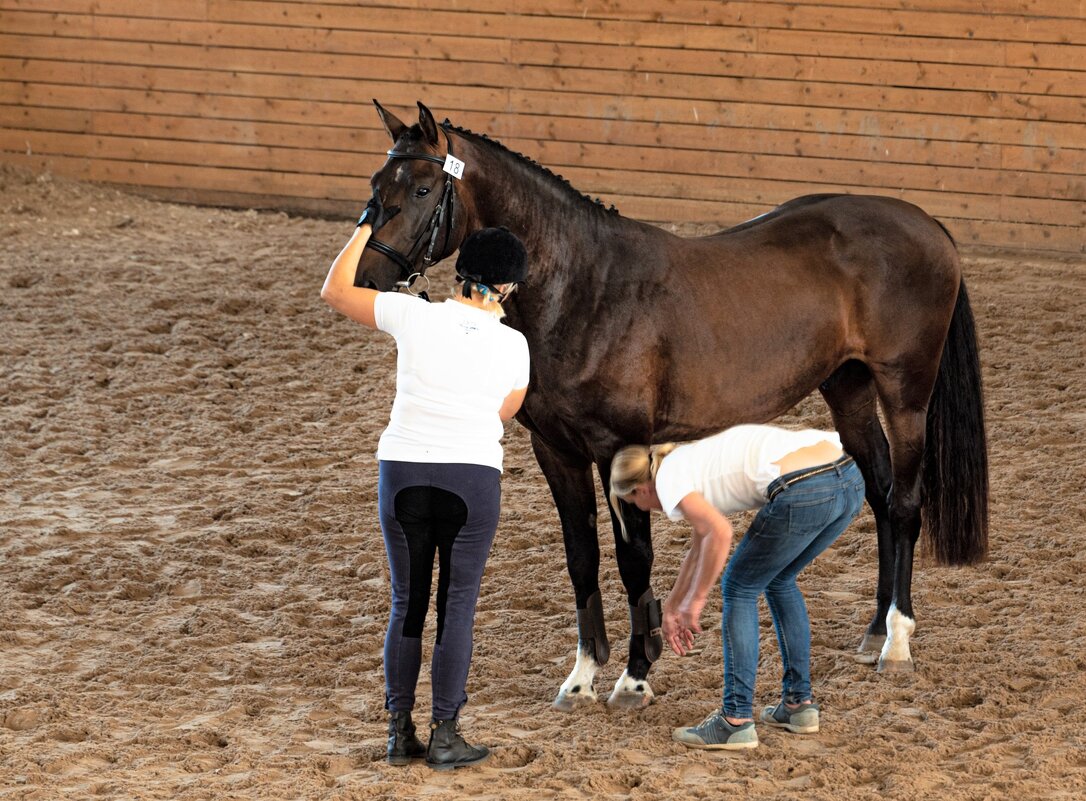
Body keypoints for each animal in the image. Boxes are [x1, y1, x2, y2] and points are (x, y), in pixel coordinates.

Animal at [351, 103, 990, 707]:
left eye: (422, 189)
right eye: (376, 184)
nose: (368, 279)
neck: (585, 290)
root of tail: (925, 222)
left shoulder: (619, 448)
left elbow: (634, 559)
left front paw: (635, 676)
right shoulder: (556, 451)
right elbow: (581, 558)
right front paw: (581, 677)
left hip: (905, 393)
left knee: (904, 503)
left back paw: (898, 641)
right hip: (847, 388)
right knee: (880, 495)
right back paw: (875, 630)